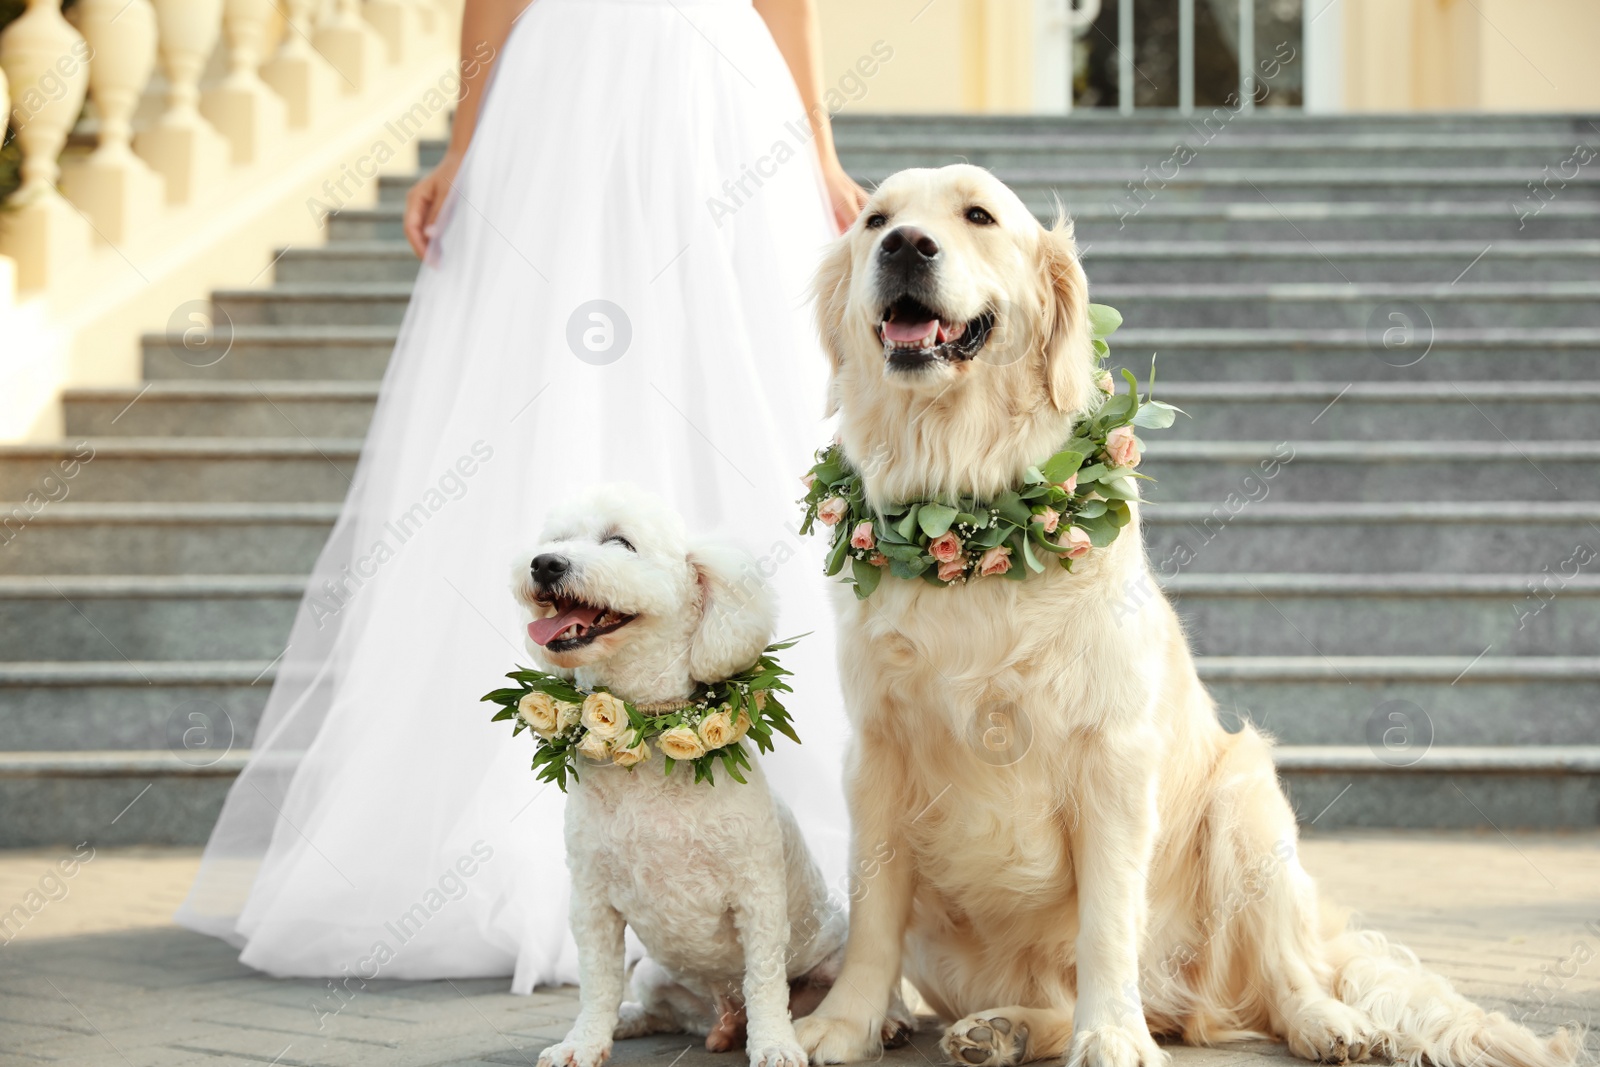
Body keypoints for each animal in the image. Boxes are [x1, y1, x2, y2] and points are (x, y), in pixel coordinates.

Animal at [512, 489, 870, 1067]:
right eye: (556, 540)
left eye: (620, 542)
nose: (544, 564)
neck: (647, 738)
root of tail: (722, 1016)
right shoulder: (591, 900)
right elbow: (597, 982)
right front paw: (582, 1043)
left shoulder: (758, 897)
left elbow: (765, 981)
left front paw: (775, 1045)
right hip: (655, 973)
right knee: (657, 1006)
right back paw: (645, 1021)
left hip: (832, 958)